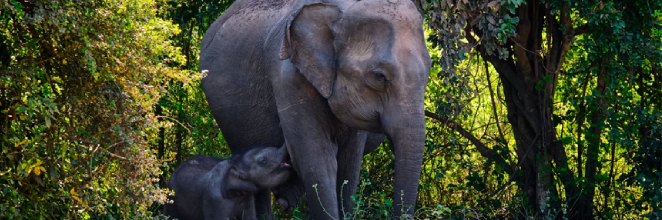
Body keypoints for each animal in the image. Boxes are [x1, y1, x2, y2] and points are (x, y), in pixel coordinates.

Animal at [200, 0, 434, 217]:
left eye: (430, 69)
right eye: (379, 76)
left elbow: (349, 164)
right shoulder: (289, 79)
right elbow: (318, 159)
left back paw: (285, 198)